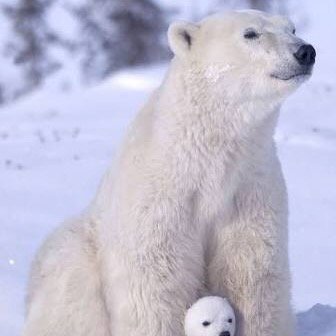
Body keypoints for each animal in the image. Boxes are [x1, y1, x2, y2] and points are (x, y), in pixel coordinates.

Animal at [23, 9, 316, 336]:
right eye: (250, 33)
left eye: (292, 28)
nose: (305, 51)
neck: (206, 160)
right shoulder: (159, 199)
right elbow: (155, 283)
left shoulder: (248, 190)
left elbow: (251, 275)